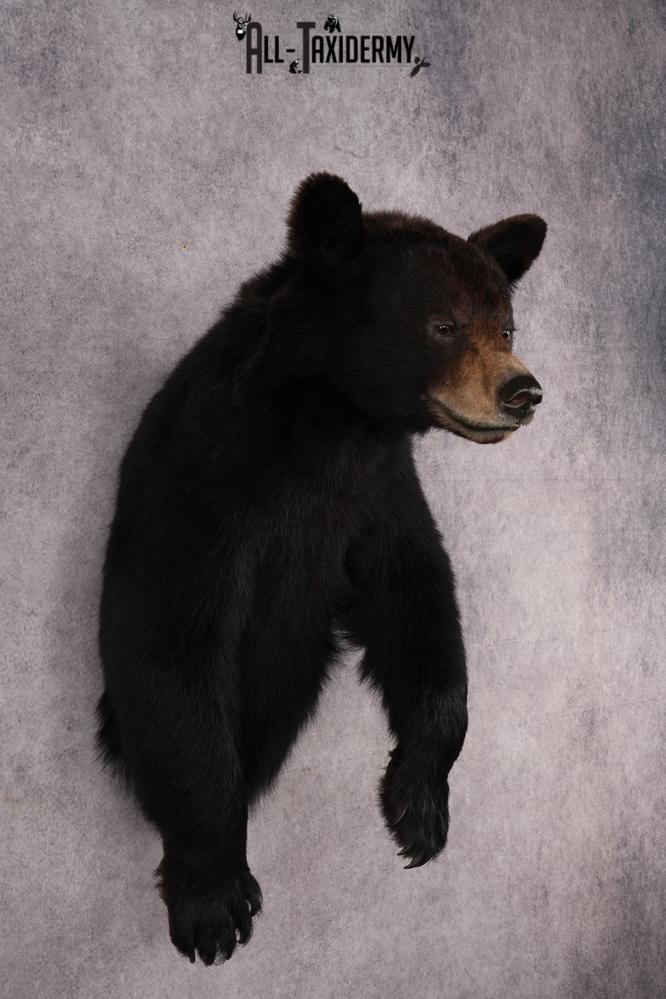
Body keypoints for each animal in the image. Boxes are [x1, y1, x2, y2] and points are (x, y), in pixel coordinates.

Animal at [96, 172, 547, 966]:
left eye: (506, 327)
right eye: (443, 324)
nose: (522, 392)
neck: (332, 425)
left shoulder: (377, 491)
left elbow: (416, 595)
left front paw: (418, 803)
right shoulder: (207, 486)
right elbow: (171, 644)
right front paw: (212, 897)